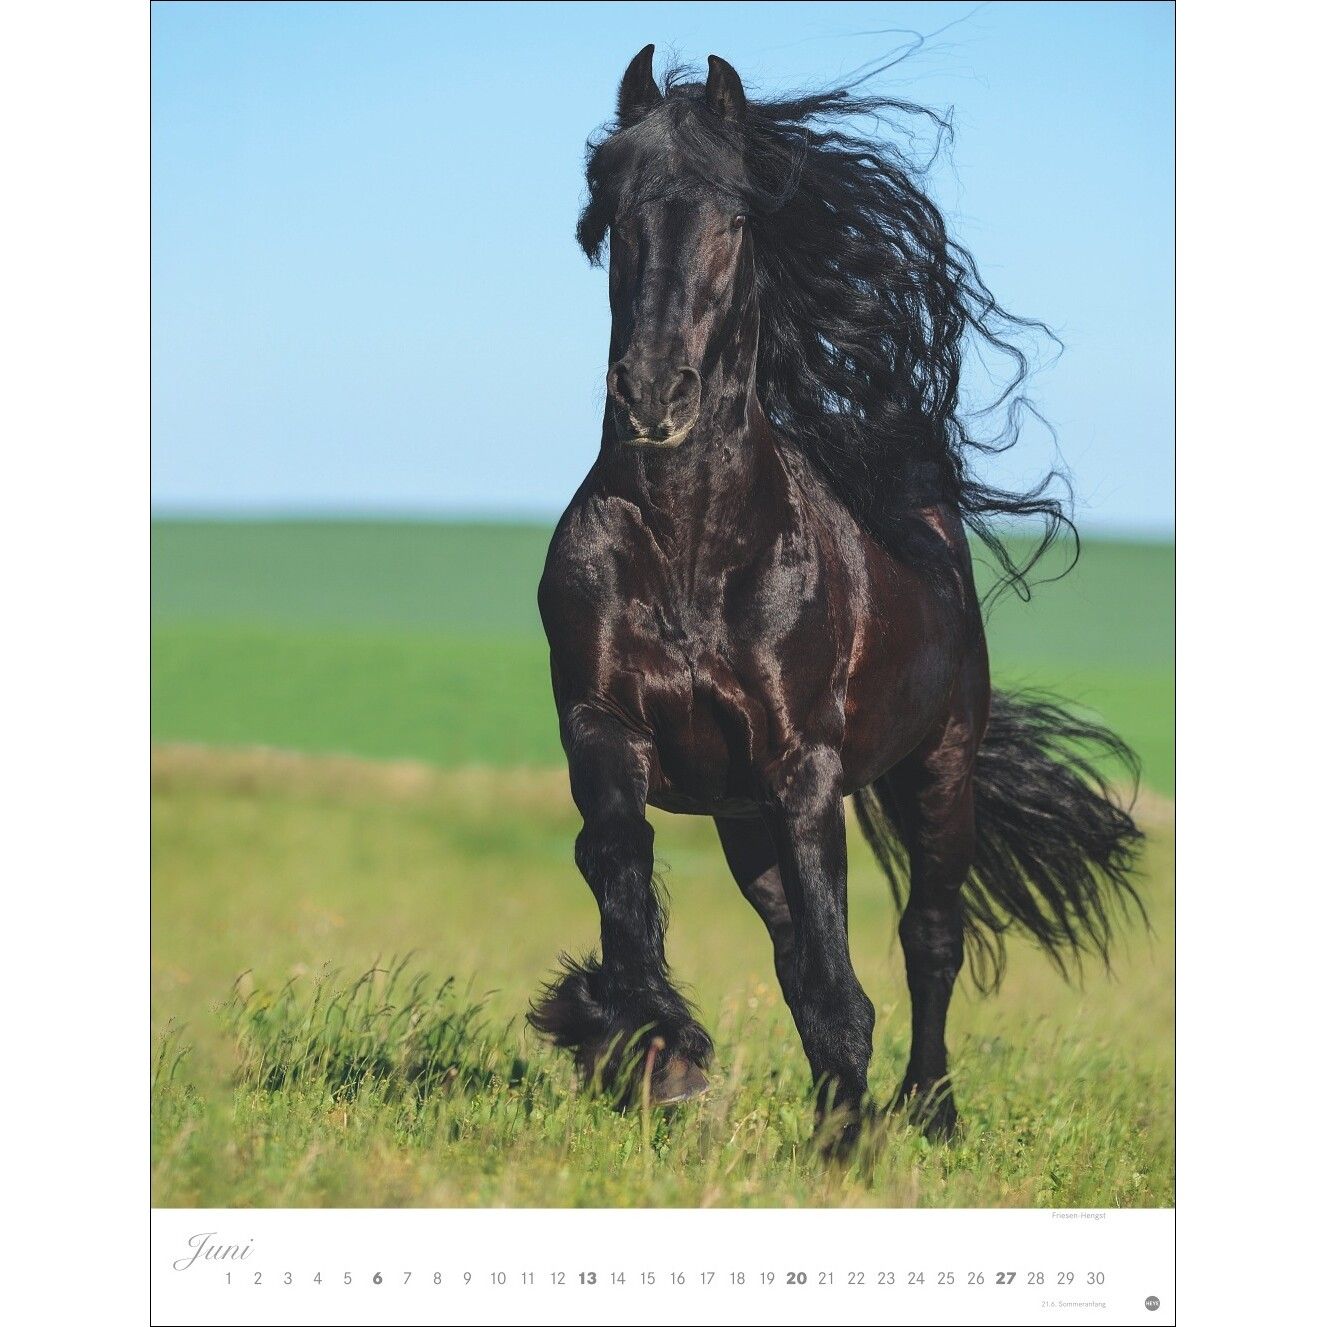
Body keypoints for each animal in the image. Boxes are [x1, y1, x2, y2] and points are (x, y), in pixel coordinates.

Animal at [530, 45, 1143, 1149]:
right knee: (789, 939)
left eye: (733, 220)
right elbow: (621, 866)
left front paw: (843, 1139)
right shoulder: (603, 727)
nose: (653, 393)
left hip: (936, 770)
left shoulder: (801, 765)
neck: (691, 548)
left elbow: (837, 971)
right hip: (743, 817)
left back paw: (927, 1111)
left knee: (930, 936)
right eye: (616, 216)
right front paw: (646, 1046)